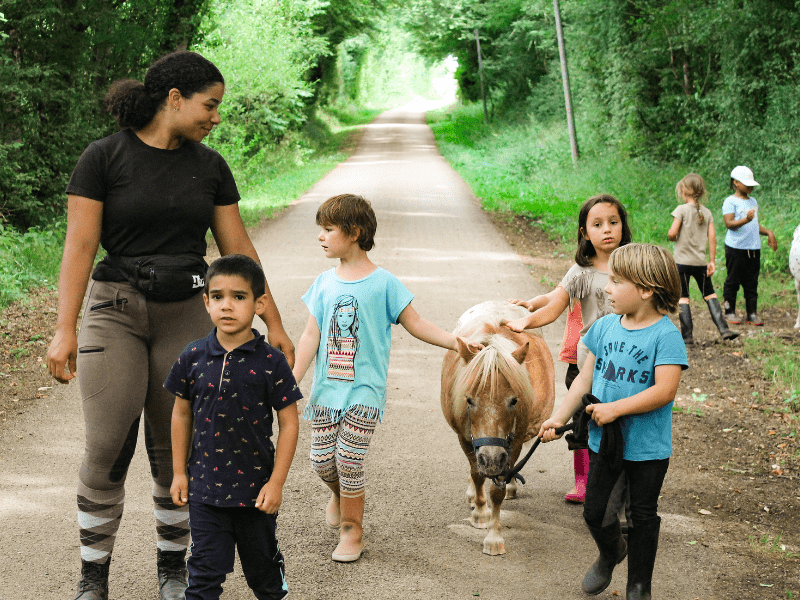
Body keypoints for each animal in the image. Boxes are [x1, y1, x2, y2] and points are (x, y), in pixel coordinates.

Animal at [440, 302, 552, 556]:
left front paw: (494, 536)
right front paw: (481, 512)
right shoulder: (465, 438)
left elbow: (497, 489)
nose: (491, 459)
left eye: (514, 401)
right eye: (469, 400)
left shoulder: (514, 443)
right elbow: (476, 474)